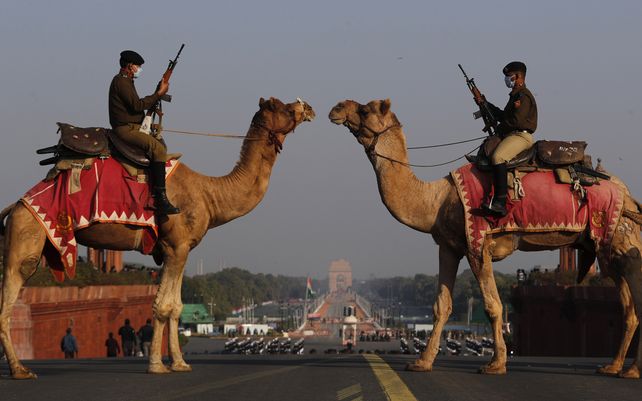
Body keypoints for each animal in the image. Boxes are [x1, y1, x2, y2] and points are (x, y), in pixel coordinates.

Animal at [0, 97, 315, 379]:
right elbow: (162, 306)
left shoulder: (180, 249)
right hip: (27, 235)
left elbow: (176, 307)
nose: (308, 107)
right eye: (283, 107)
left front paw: (180, 363)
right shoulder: (176, 245)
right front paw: (156, 365)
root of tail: (16, 205)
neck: (210, 194)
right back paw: (20, 370)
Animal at [329, 98, 642, 378]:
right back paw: (613, 367)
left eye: (365, 109)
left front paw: (496, 364)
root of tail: (628, 195)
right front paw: (422, 362)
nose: (337, 107)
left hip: (622, 240)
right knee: (627, 305)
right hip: (606, 247)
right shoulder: (449, 246)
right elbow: (441, 306)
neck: (437, 199)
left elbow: (494, 306)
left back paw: (632, 370)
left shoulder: (478, 244)